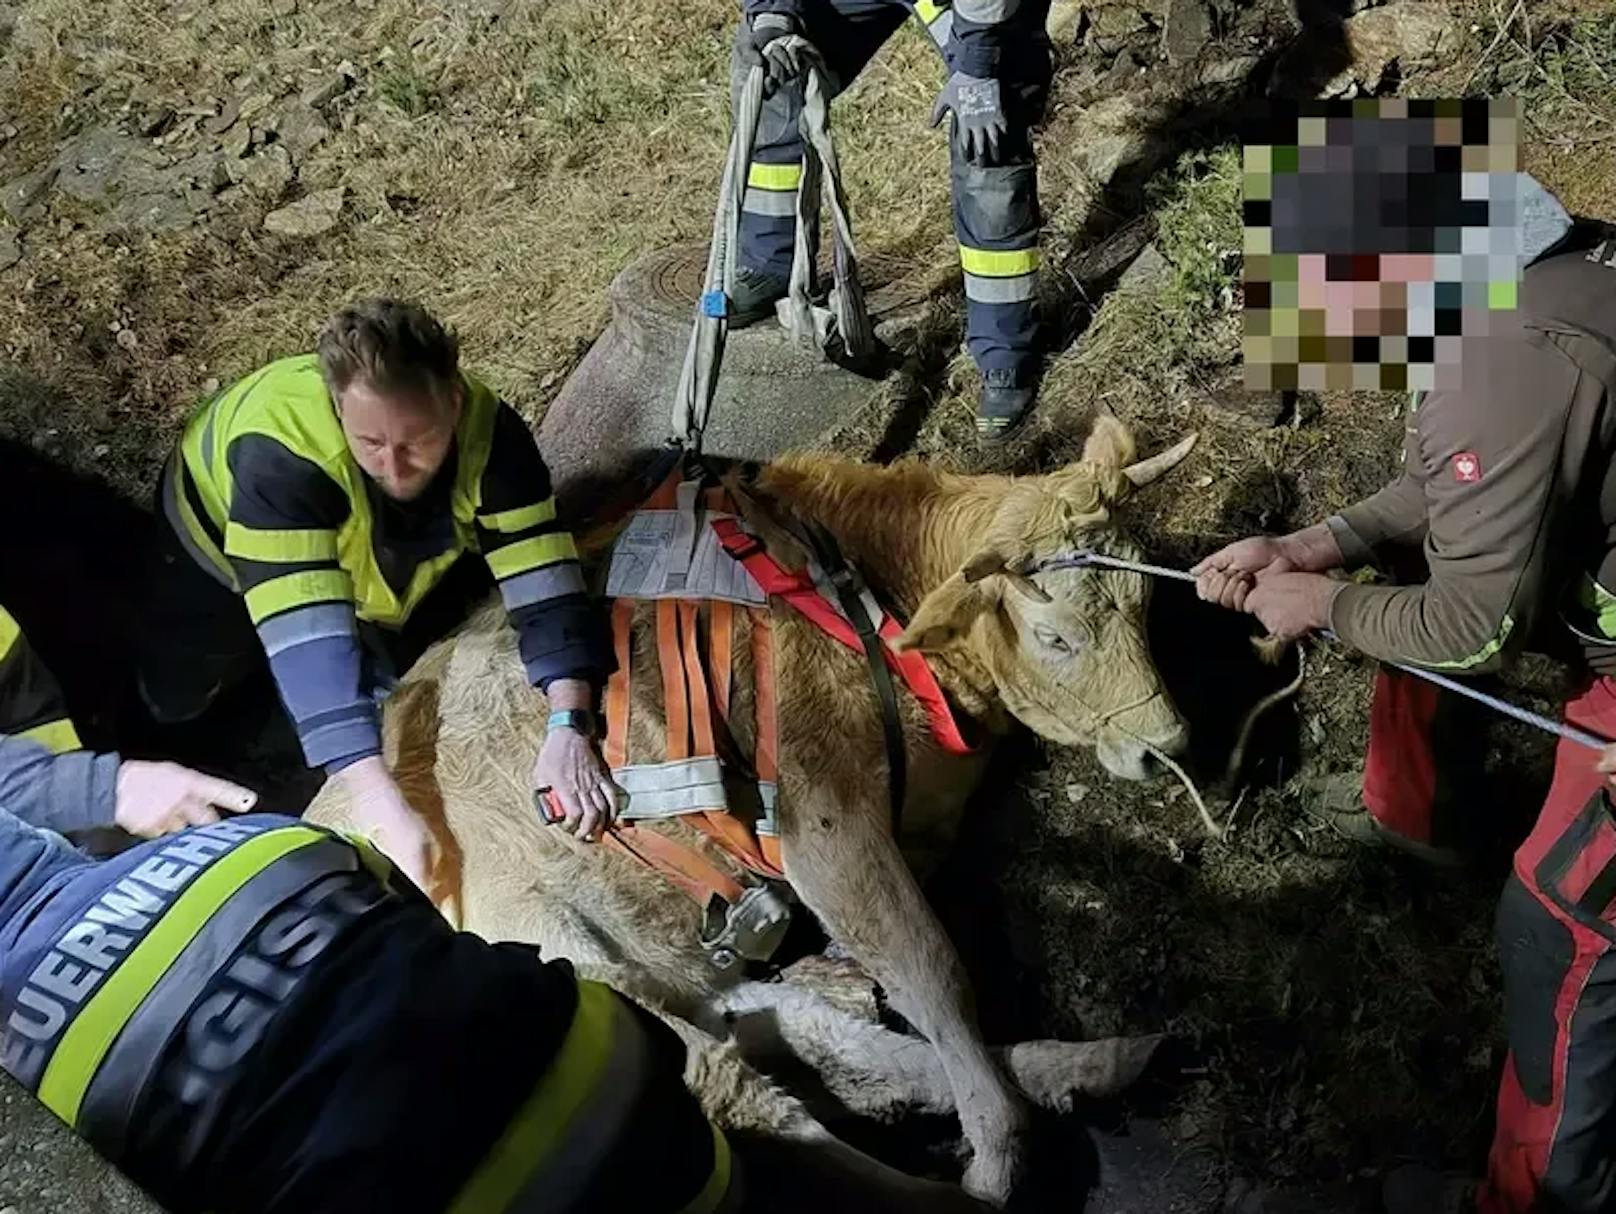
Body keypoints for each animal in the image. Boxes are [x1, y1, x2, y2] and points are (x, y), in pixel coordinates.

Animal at [303, 417, 1195, 1209]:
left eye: (1147, 602)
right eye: (1056, 638)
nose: (1168, 744)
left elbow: (904, 983)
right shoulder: (817, 818)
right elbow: (932, 968)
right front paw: (999, 1148)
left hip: (650, 961)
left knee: (810, 1039)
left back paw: (1081, 1065)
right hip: (561, 958)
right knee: (732, 1087)